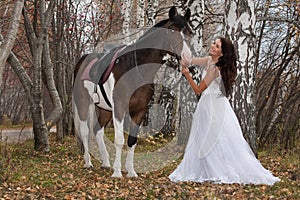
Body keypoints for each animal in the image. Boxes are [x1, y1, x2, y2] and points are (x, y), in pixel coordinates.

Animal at [72, 6, 192, 177]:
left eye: (189, 32)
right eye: (172, 30)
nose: (187, 58)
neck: (135, 68)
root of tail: (82, 61)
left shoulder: (140, 110)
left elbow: (131, 141)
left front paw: (131, 171)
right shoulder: (120, 108)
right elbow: (119, 140)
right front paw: (117, 172)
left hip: (105, 109)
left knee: (98, 131)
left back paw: (106, 163)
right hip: (83, 103)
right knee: (85, 131)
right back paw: (88, 163)